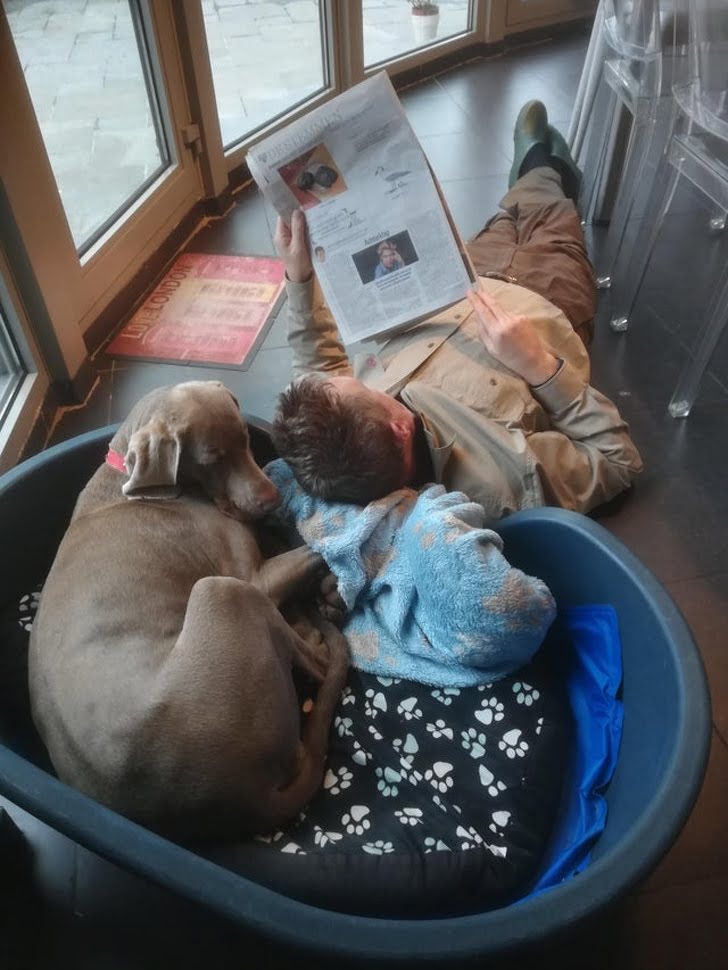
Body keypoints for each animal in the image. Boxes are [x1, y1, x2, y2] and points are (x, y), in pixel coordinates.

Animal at [32, 382, 352, 836]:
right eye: (212, 458)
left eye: (246, 440)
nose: (272, 499)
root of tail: (241, 796)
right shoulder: (253, 576)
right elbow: (315, 548)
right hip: (221, 591)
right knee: (321, 663)